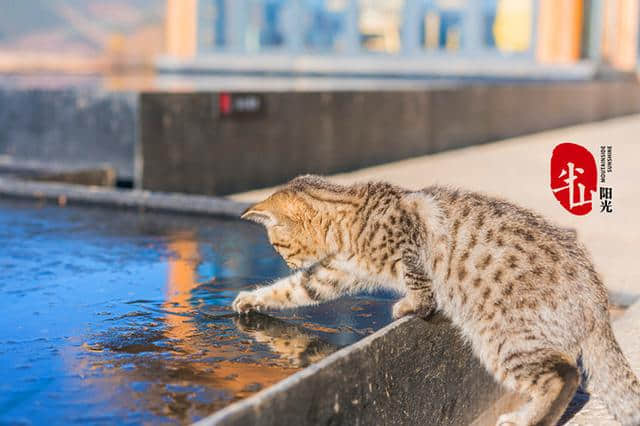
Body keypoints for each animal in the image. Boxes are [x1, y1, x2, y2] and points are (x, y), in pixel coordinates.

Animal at [232, 175, 636, 424]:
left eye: (277, 244)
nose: (283, 260)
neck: (349, 219)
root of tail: (596, 299)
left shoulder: (410, 253)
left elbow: (421, 287)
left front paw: (408, 305)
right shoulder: (333, 274)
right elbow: (293, 289)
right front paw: (251, 298)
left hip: (503, 338)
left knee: (564, 375)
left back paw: (528, 420)